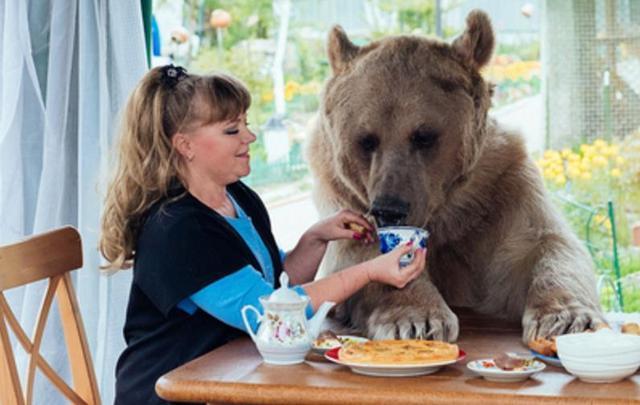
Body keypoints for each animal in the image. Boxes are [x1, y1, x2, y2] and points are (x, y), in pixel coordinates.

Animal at [308, 9, 608, 342]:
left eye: (424, 136)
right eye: (366, 140)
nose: (389, 209)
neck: (443, 209)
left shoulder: (500, 186)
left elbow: (546, 244)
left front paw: (567, 318)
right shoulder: (343, 193)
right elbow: (358, 257)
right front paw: (416, 319)